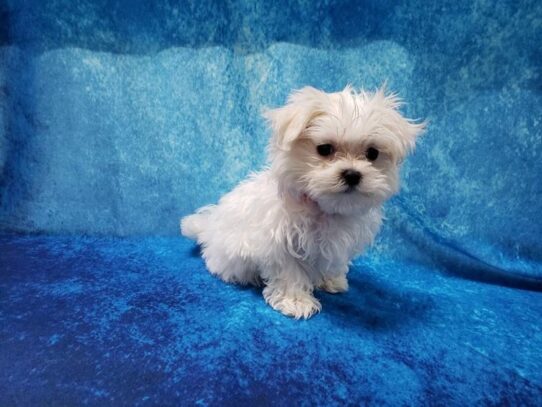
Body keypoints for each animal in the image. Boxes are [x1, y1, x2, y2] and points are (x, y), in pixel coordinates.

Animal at [182, 86, 424, 320]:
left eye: (372, 153)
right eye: (324, 149)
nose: (352, 174)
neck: (323, 207)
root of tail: (208, 228)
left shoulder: (335, 244)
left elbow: (332, 261)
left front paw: (331, 280)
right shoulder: (280, 243)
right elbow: (290, 273)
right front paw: (296, 302)